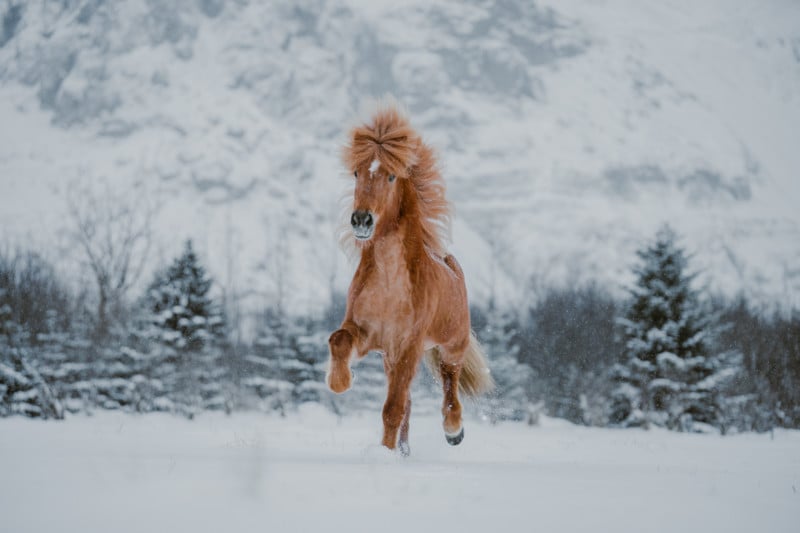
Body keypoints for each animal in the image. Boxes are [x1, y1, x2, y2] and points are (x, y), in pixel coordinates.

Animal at [324, 104, 494, 454]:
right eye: (357, 173)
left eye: (390, 175)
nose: (361, 220)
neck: (389, 285)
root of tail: (450, 264)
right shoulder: (368, 335)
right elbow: (338, 339)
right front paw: (340, 382)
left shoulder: (409, 346)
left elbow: (392, 408)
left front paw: (386, 452)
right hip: (391, 359)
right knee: (412, 402)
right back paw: (404, 449)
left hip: (452, 344)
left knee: (449, 384)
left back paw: (454, 431)